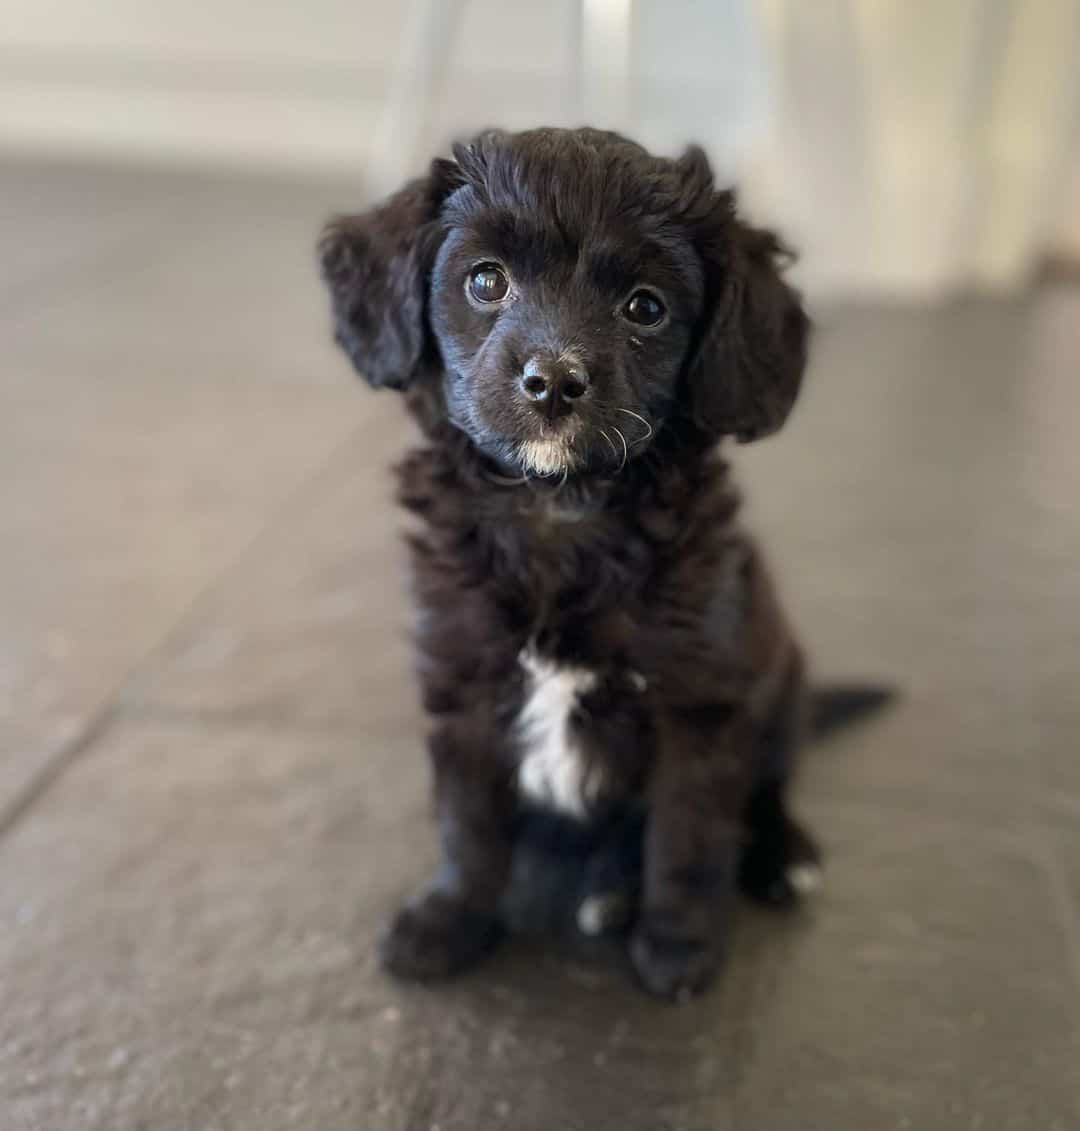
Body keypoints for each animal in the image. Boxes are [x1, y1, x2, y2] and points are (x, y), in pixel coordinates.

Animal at [318, 128, 818, 1004]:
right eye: (486, 280)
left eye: (646, 306)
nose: (552, 380)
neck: (560, 506)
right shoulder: (466, 682)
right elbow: (468, 824)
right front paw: (450, 919)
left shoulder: (699, 703)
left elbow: (688, 836)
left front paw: (678, 945)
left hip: (782, 684)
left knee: (768, 786)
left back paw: (773, 857)